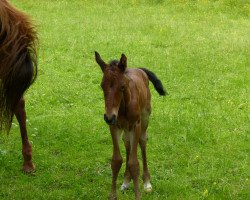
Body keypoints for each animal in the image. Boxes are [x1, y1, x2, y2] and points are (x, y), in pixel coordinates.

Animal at [94, 52, 167, 200]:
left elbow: (134, 163)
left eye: (122, 86)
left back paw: (146, 182)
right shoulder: (114, 126)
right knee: (127, 142)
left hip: (145, 118)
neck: (122, 108)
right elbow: (116, 160)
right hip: (125, 128)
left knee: (142, 141)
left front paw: (138, 195)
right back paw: (126, 181)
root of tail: (139, 69)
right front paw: (113, 195)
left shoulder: (135, 125)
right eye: (102, 86)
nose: (109, 117)